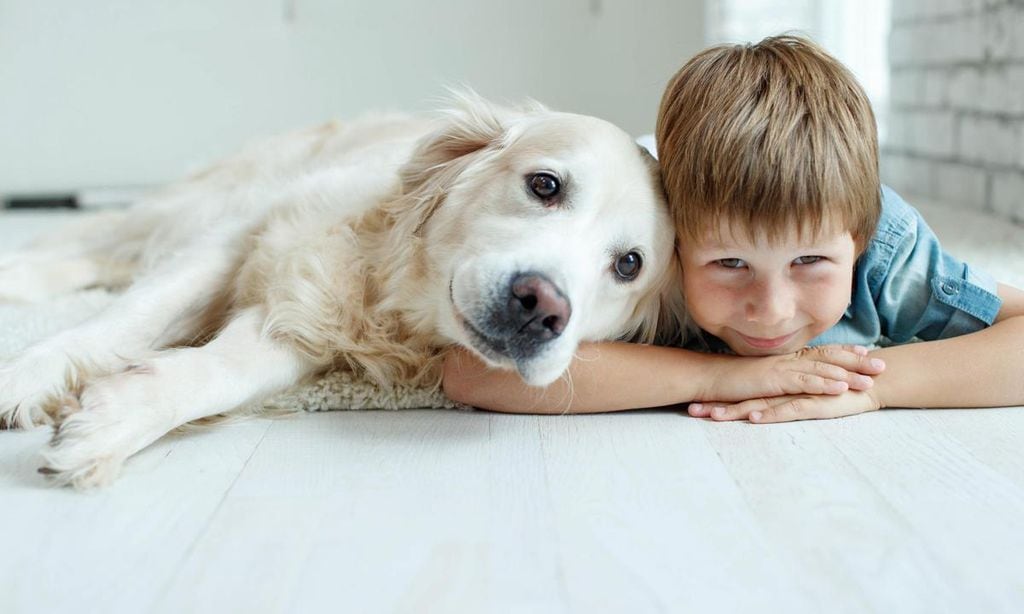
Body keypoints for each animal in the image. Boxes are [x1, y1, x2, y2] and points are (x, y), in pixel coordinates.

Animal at [2, 93, 688, 489]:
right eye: (544, 184)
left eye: (629, 264)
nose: (542, 308)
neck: (392, 290)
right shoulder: (241, 237)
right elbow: (123, 321)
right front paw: (23, 378)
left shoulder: (300, 323)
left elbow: (218, 373)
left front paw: (113, 420)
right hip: (195, 204)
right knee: (87, 244)